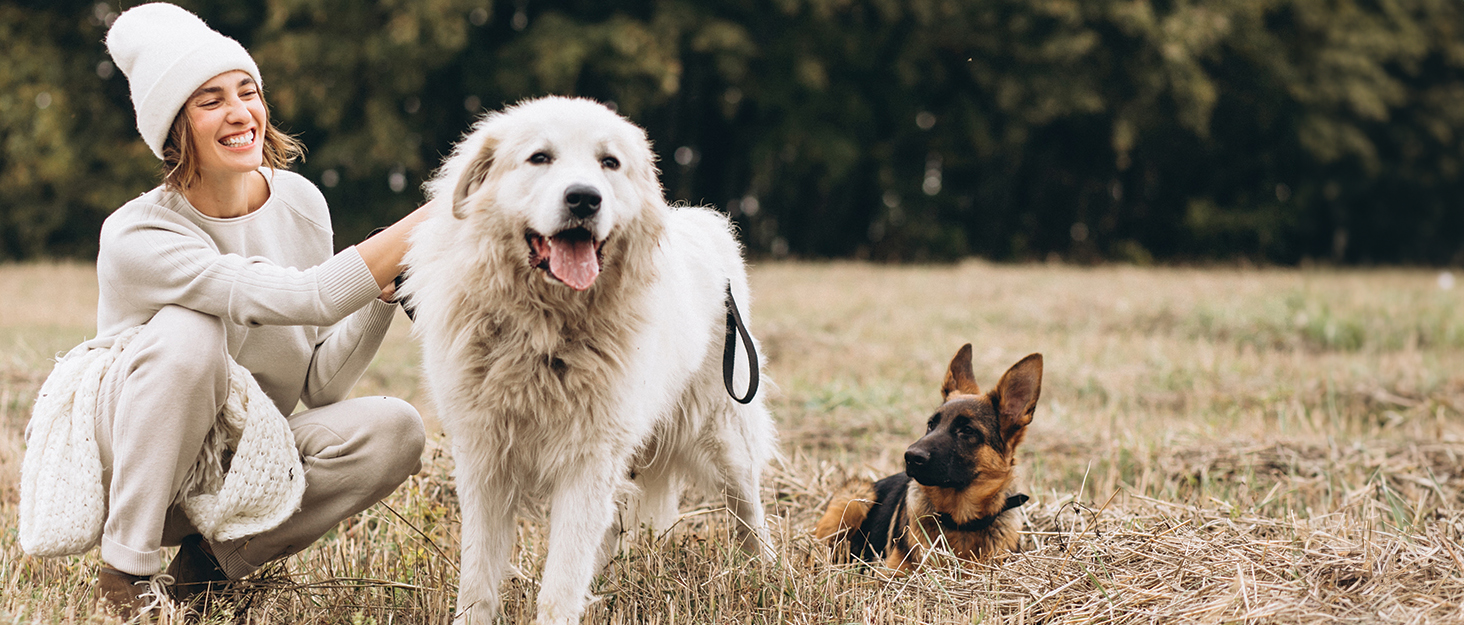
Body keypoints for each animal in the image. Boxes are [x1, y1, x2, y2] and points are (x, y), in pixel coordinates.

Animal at [401, 95, 778, 623]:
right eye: (540, 158)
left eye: (609, 163)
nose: (584, 198)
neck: (545, 332)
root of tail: (707, 223)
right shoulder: (483, 457)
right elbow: (478, 580)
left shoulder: (589, 458)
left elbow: (560, 579)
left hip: (724, 433)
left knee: (749, 515)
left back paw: (770, 579)